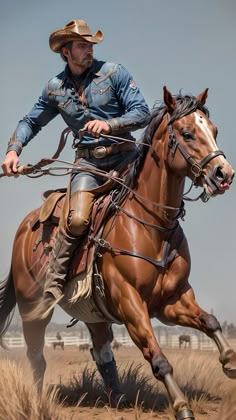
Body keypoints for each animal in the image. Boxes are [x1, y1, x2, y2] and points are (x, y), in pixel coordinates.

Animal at [0, 86, 236, 420]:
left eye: (214, 130)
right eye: (188, 133)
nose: (223, 174)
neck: (151, 226)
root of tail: (24, 229)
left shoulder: (172, 300)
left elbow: (211, 321)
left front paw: (230, 361)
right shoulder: (130, 304)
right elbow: (158, 358)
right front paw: (181, 406)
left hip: (93, 313)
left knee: (101, 349)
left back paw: (118, 398)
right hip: (33, 308)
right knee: (37, 356)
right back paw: (37, 400)